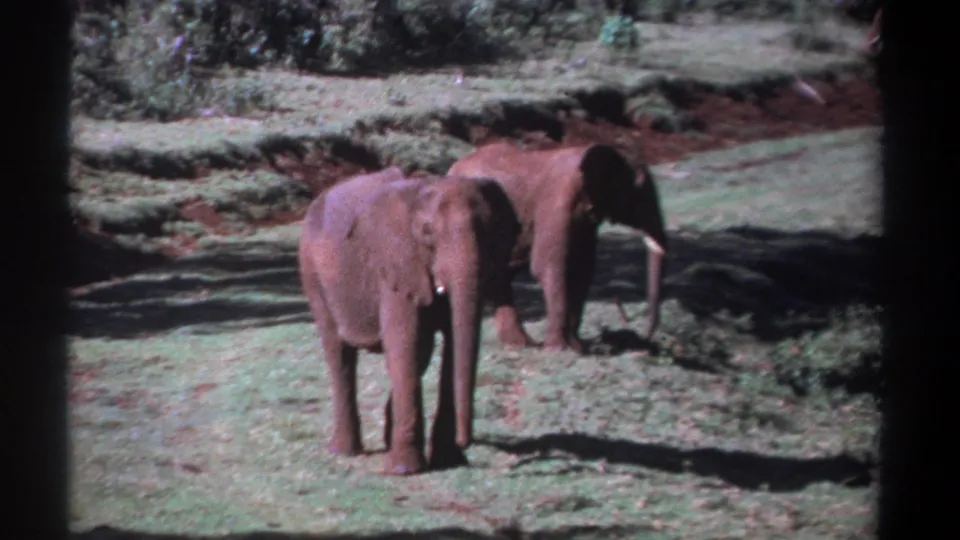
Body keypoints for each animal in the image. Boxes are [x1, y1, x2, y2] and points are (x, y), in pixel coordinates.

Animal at [297, 167, 520, 475]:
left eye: (491, 231)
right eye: (427, 232)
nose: (466, 442)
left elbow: (445, 345)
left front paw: (449, 460)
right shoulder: (395, 265)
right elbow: (406, 344)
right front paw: (404, 470)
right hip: (312, 272)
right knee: (339, 353)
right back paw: (344, 451)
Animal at [447, 142, 668, 354]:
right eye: (638, 193)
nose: (647, 337)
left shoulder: (584, 220)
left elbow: (582, 270)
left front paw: (578, 348)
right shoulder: (556, 202)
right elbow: (549, 266)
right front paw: (558, 349)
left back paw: (520, 344)